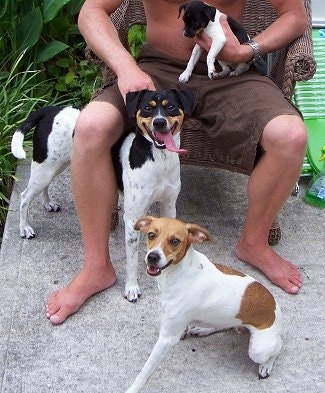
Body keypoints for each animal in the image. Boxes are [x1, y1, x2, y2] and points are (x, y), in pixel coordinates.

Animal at [11, 89, 195, 304]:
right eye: (147, 108)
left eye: (171, 106)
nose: (159, 122)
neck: (160, 159)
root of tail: (50, 109)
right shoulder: (132, 218)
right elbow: (132, 260)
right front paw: (131, 288)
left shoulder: (169, 206)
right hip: (44, 167)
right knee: (24, 197)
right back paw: (25, 228)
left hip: (55, 165)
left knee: (43, 188)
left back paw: (48, 203)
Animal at [125, 216, 282, 390]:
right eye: (151, 234)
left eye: (175, 241)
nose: (152, 257)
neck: (181, 271)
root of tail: (276, 309)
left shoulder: (166, 338)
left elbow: (145, 371)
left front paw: (133, 388)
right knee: (225, 325)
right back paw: (203, 329)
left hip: (258, 350)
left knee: (278, 348)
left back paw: (266, 366)